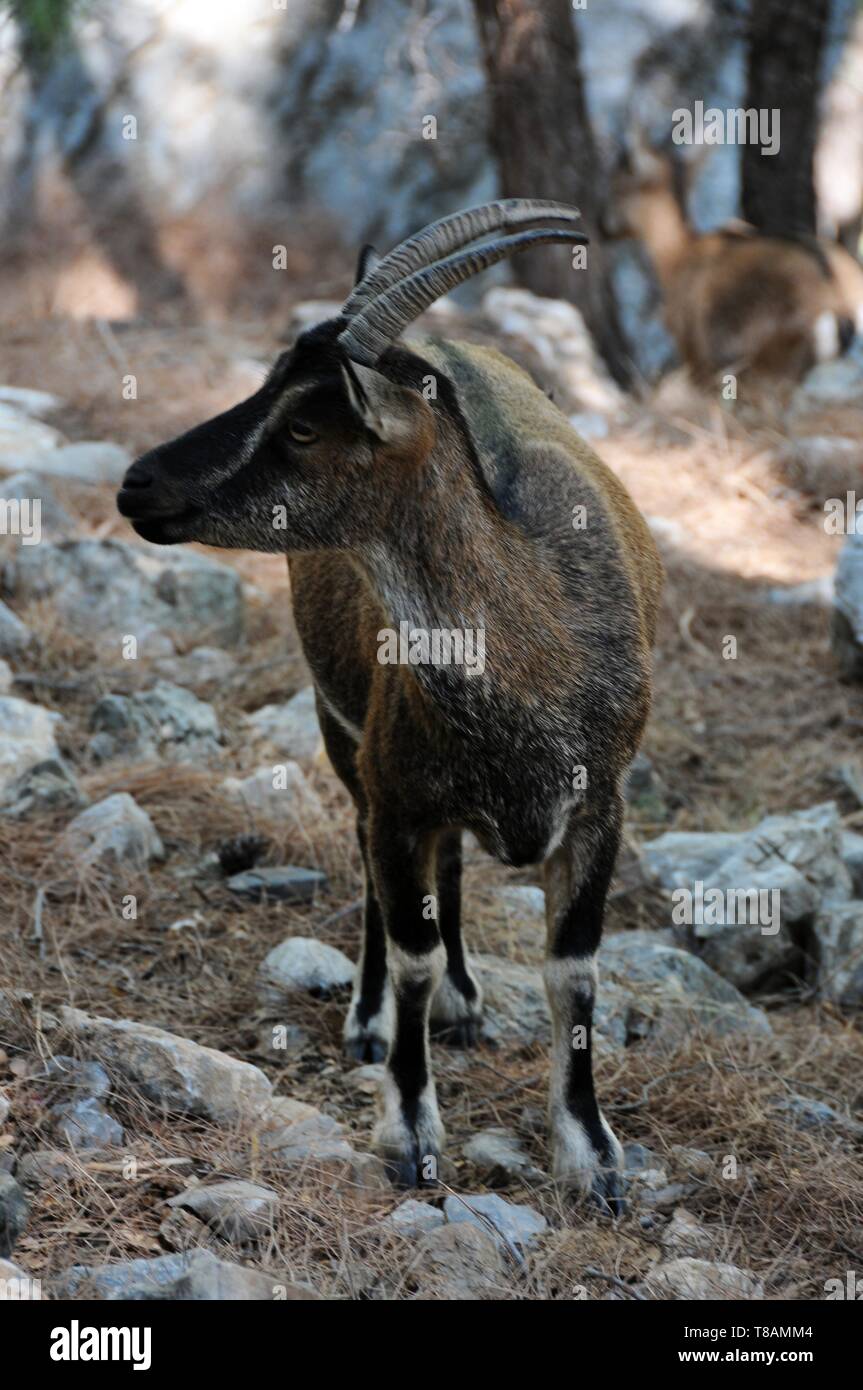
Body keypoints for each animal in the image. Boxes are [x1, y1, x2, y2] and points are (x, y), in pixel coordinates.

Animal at [117, 201, 663, 1211]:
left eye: (303, 426)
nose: (139, 482)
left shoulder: (598, 805)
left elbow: (573, 971)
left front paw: (592, 1154)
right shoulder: (397, 787)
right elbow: (408, 947)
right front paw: (408, 1130)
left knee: (445, 871)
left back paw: (465, 1001)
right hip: (345, 735)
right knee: (375, 866)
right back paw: (372, 1021)